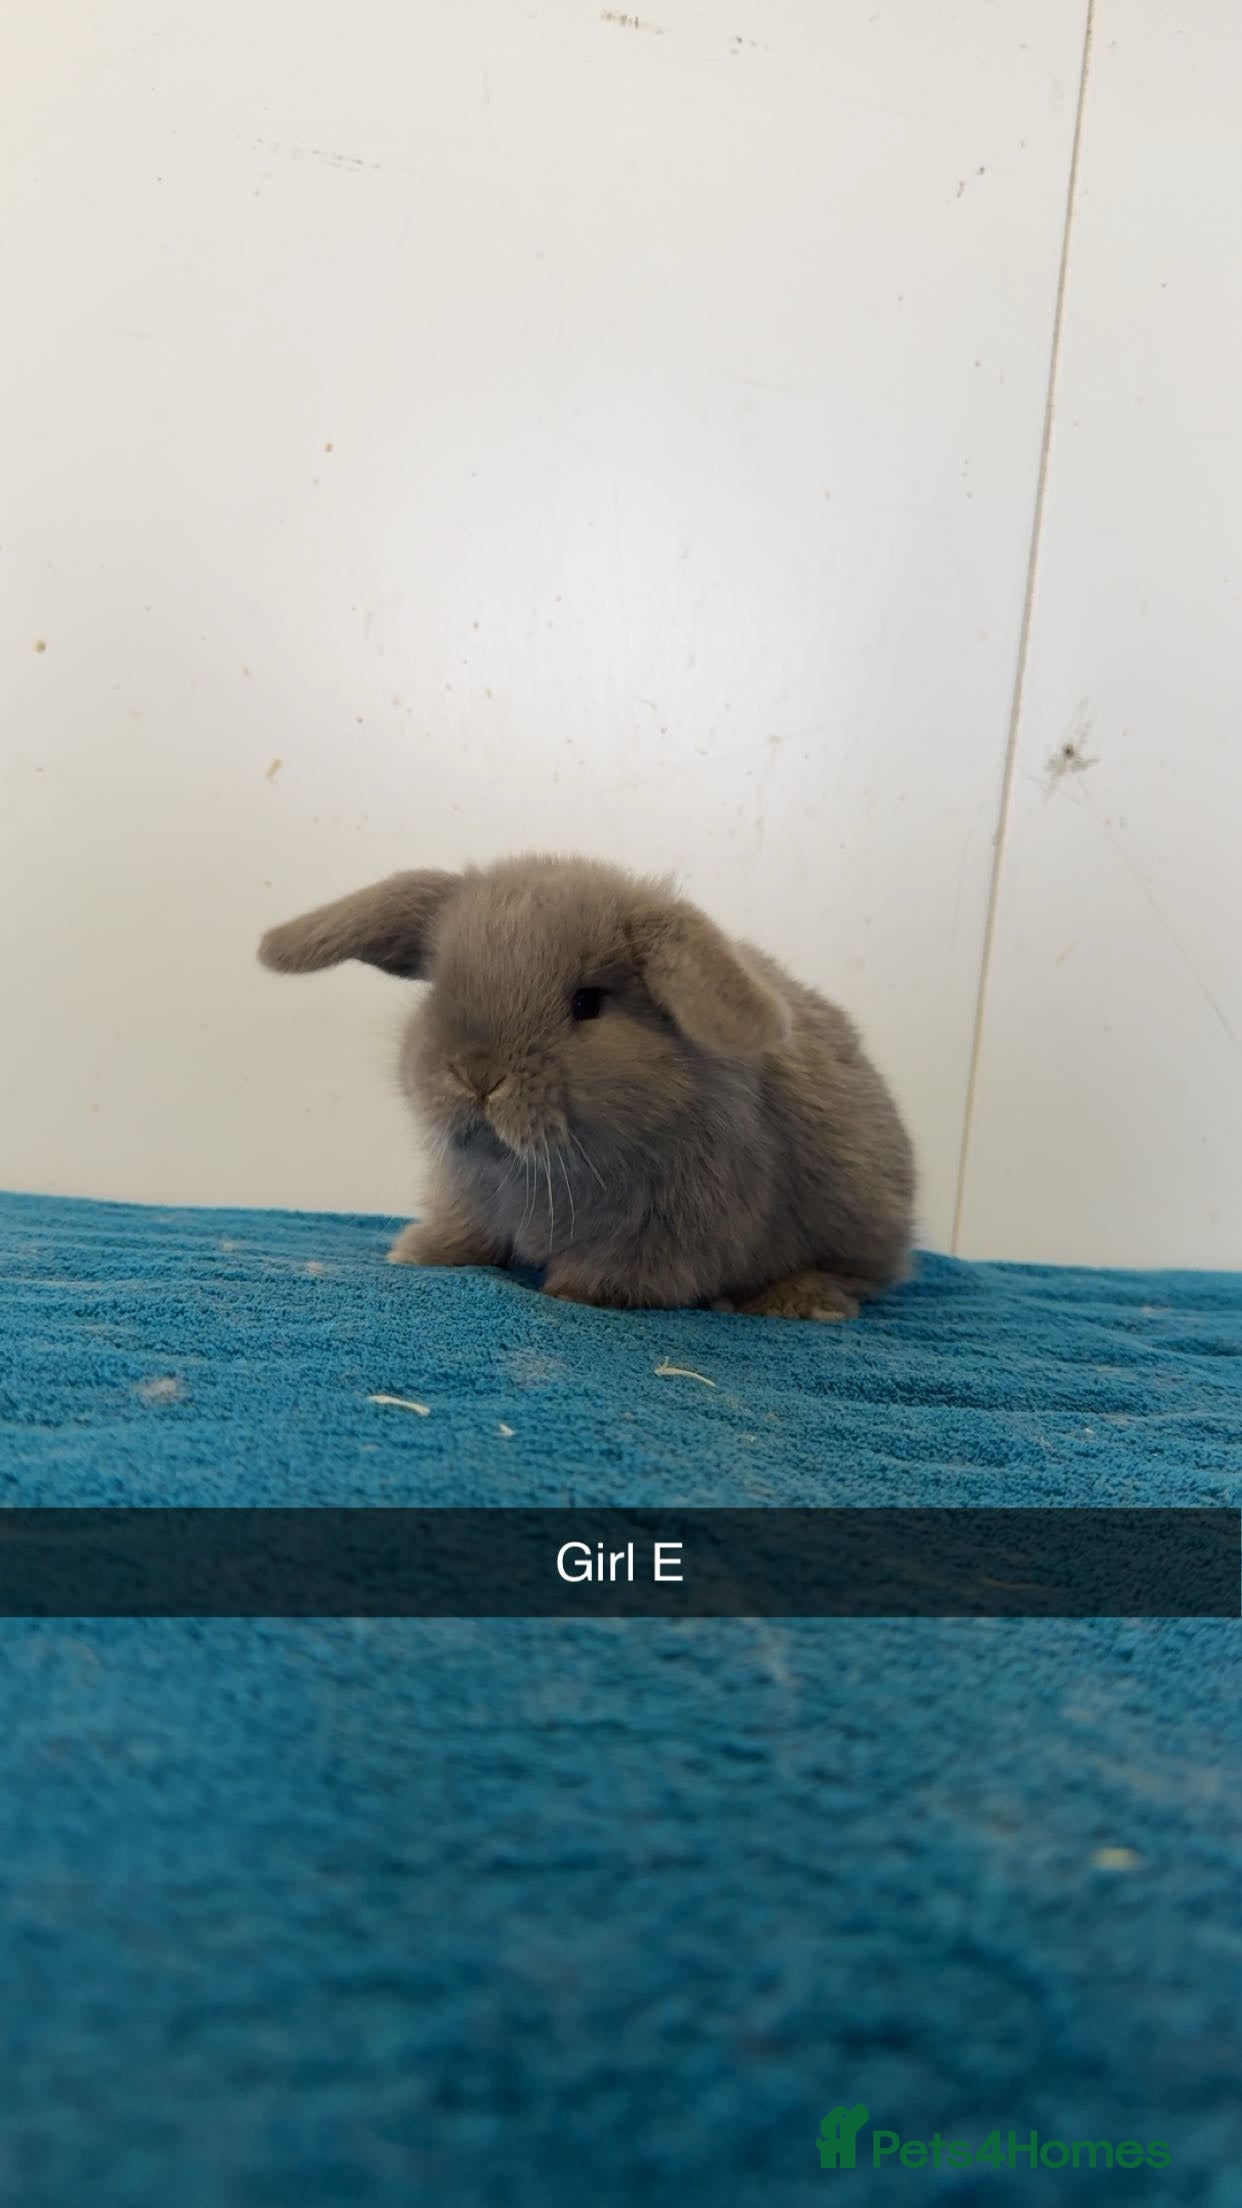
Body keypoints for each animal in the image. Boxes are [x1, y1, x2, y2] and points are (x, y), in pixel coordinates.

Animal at [258, 854, 916, 1319]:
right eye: (440, 987)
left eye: (587, 1003)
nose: (477, 1076)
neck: (540, 1171)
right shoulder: (468, 1196)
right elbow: (465, 1233)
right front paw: (420, 1251)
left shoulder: (669, 1232)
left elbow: (623, 1275)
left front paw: (576, 1291)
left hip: (859, 1218)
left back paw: (796, 1301)